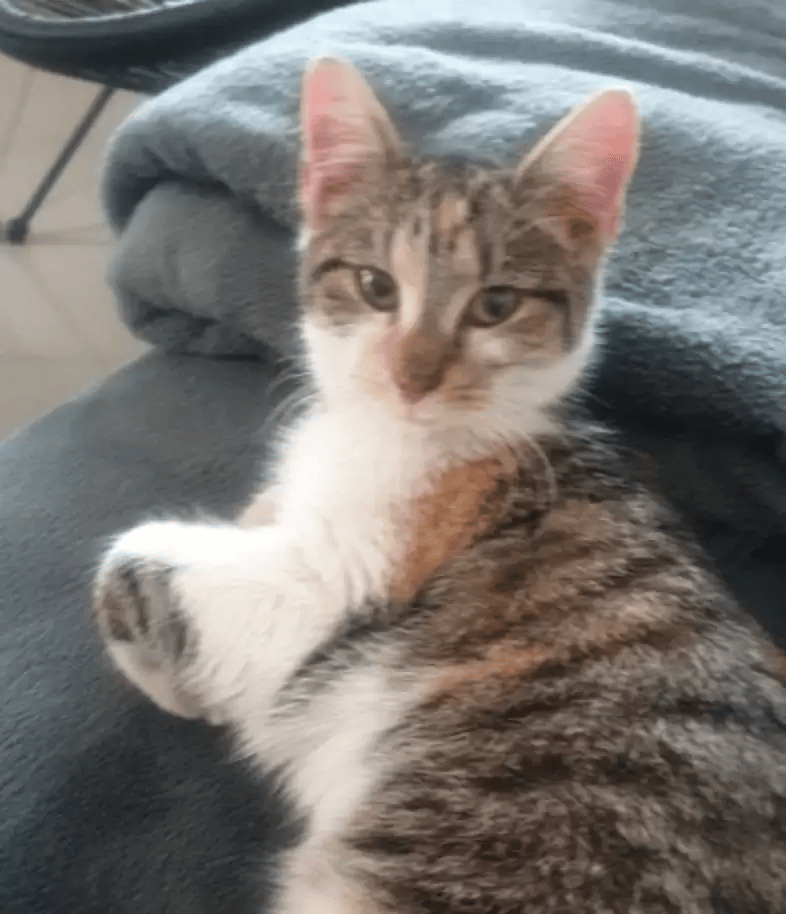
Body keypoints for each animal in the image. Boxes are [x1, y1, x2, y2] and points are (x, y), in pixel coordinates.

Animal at [92, 58, 784, 912]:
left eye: (497, 304)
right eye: (375, 285)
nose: (412, 374)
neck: (385, 433)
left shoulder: (339, 592)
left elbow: (130, 554)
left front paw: (170, 683)